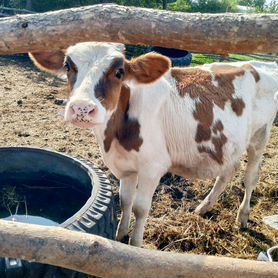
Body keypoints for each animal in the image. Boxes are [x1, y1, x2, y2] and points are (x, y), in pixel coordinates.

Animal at [30, 42, 278, 247]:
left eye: (119, 72)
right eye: (68, 66)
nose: (82, 108)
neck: (114, 138)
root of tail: (262, 63)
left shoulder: (152, 167)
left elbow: (140, 208)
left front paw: (136, 244)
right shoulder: (125, 166)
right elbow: (125, 201)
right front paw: (120, 234)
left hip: (260, 134)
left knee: (250, 177)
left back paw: (242, 216)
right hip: (230, 144)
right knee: (228, 171)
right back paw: (204, 207)